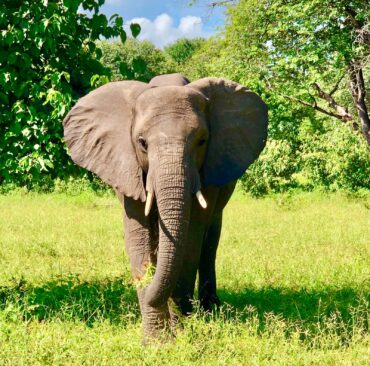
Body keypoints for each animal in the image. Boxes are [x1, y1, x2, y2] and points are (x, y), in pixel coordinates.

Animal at [62, 72, 268, 340]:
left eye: (202, 141)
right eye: (142, 143)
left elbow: (190, 241)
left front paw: (180, 334)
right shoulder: (127, 167)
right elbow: (138, 239)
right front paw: (156, 340)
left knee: (210, 238)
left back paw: (210, 310)